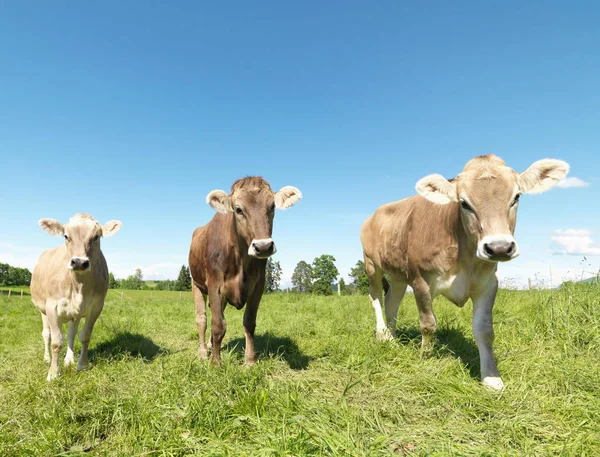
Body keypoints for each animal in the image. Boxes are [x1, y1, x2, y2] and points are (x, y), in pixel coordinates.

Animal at [32, 212, 123, 380]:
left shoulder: (96, 306)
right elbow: (56, 341)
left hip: (75, 314)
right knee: (46, 334)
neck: (78, 287)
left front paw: (82, 365)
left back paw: (69, 359)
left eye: (96, 236)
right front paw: (53, 373)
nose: (79, 262)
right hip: (42, 310)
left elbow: (84, 336)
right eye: (66, 236)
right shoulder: (51, 306)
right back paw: (47, 358)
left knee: (71, 334)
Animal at [189, 176, 302, 366]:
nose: (263, 246)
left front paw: (249, 361)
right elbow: (218, 324)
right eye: (238, 209)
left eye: (272, 207)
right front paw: (215, 363)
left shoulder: (258, 285)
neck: (240, 261)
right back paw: (204, 351)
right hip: (196, 283)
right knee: (202, 318)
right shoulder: (214, 284)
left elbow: (248, 322)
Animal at [358, 156, 568, 388]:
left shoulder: (488, 283)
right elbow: (428, 324)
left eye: (516, 197)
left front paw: (491, 378)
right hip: (372, 265)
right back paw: (382, 335)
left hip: (398, 275)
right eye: (464, 203)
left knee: (392, 302)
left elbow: (485, 330)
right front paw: (425, 358)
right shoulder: (420, 280)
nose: (499, 247)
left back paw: (393, 338)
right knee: (376, 297)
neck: (464, 258)